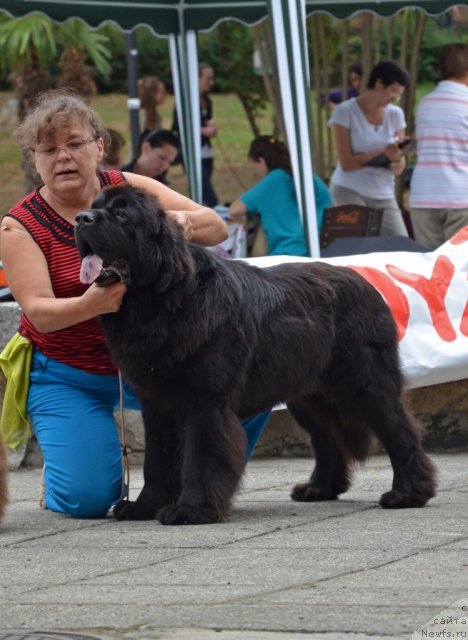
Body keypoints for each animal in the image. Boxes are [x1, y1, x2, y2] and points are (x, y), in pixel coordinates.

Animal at [75, 185, 436, 524]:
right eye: (94, 206)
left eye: (122, 214)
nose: (80, 218)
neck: (161, 302)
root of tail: (364, 281)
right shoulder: (156, 403)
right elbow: (157, 460)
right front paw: (144, 507)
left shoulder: (205, 401)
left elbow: (198, 457)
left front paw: (191, 509)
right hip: (307, 396)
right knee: (327, 438)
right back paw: (319, 488)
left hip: (365, 383)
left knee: (399, 430)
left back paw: (408, 493)